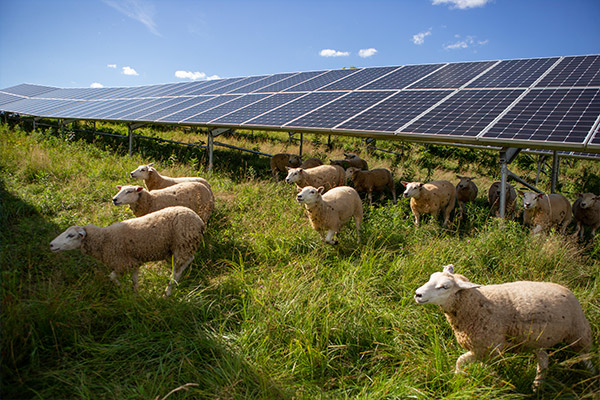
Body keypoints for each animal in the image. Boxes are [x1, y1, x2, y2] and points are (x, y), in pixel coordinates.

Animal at [49, 206, 204, 296]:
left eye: (71, 235)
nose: (51, 245)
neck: (104, 240)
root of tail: (199, 220)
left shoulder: (122, 263)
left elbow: (111, 277)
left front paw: (124, 289)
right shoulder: (133, 261)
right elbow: (134, 280)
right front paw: (136, 294)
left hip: (183, 244)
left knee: (180, 266)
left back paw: (169, 289)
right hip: (181, 246)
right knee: (186, 261)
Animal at [412, 264, 596, 390]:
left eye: (445, 287)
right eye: (430, 278)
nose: (417, 294)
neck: (477, 304)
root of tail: (566, 289)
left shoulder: (488, 347)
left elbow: (460, 361)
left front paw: (460, 379)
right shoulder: (484, 349)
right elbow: (465, 363)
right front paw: (462, 379)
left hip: (579, 333)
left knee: (586, 357)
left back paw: (592, 378)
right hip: (539, 339)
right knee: (544, 360)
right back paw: (537, 386)